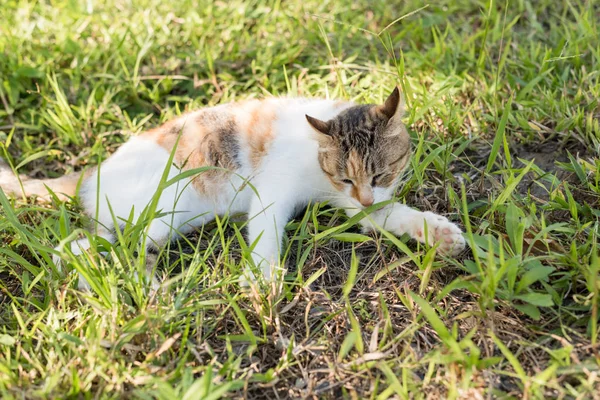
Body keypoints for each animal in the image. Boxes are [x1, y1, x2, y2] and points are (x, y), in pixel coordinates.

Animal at [0, 86, 464, 288]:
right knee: (88, 247)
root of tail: (95, 170)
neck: (320, 168)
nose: (365, 194)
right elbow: (265, 234)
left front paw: (439, 233)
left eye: (381, 175)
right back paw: (146, 289)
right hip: (158, 207)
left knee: (91, 245)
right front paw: (263, 280)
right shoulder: (272, 192)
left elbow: (390, 214)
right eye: (347, 176)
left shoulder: (360, 205)